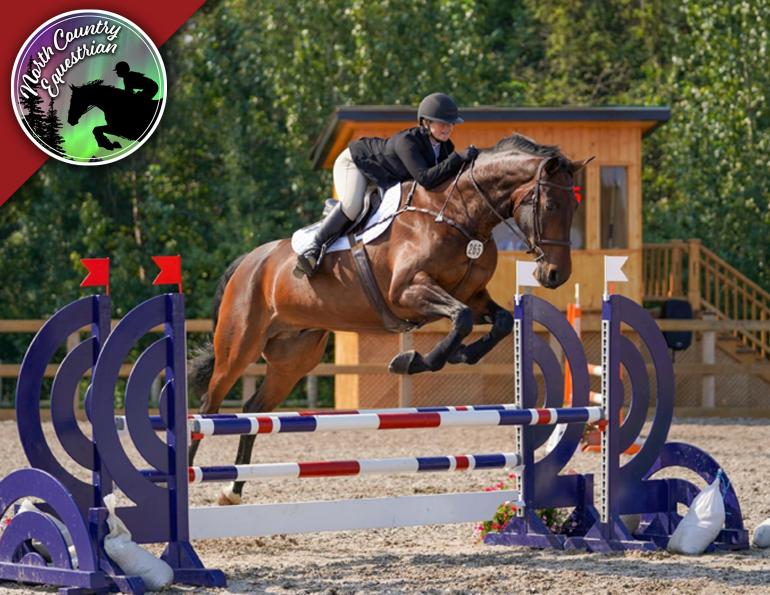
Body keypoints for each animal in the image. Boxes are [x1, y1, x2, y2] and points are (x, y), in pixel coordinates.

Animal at [188, 133, 591, 505]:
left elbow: (501, 321)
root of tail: (249, 261)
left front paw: (457, 356)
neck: (458, 215)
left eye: (575, 207)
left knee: (253, 412)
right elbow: (460, 320)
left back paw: (233, 489)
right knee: (207, 408)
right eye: (550, 204)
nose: (555, 275)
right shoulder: (407, 292)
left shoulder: (473, 296)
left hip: (293, 358)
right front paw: (410, 361)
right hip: (239, 346)